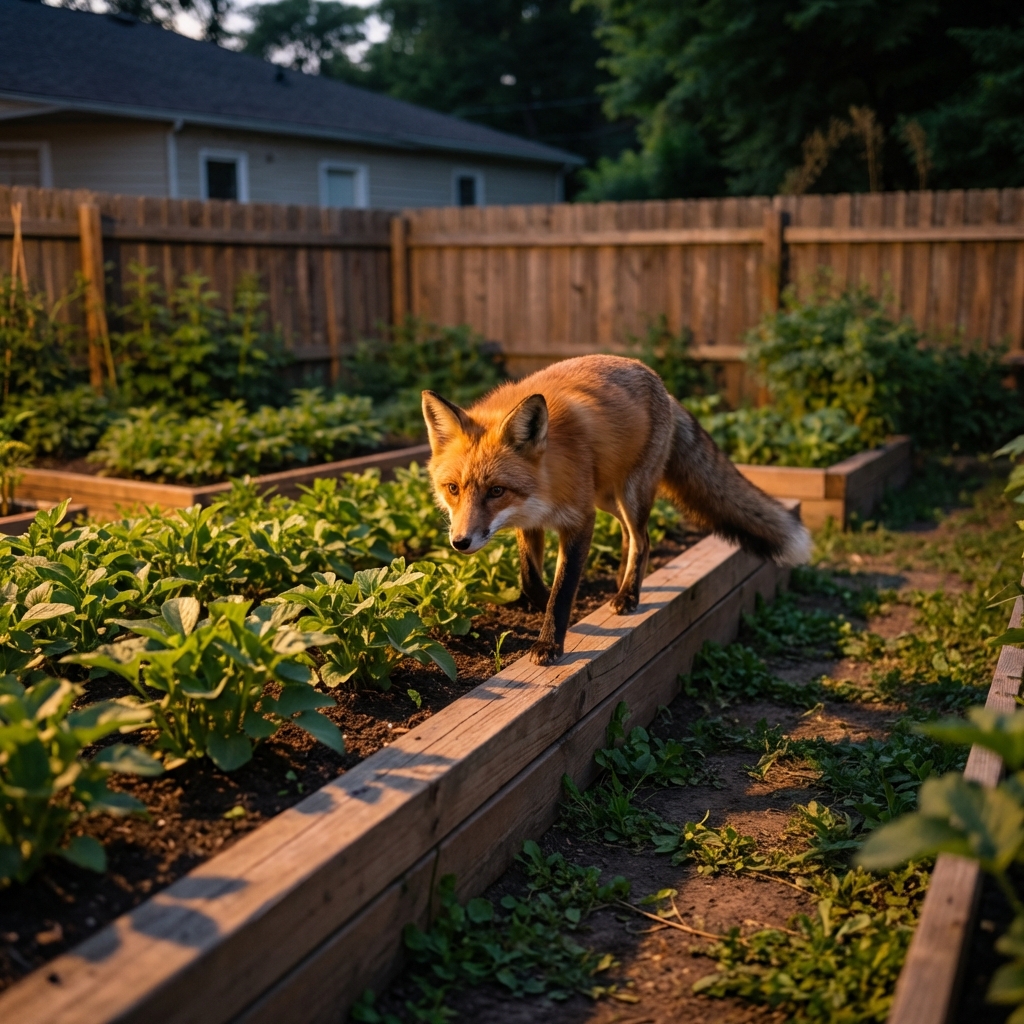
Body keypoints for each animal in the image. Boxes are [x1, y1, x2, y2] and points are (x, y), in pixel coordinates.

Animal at [421, 354, 811, 666]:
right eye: (453, 489)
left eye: (496, 491)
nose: (460, 542)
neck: (548, 478)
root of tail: (657, 380)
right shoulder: (530, 521)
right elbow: (530, 580)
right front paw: (551, 606)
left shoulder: (579, 520)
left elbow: (564, 588)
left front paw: (551, 641)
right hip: (608, 498)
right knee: (629, 534)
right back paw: (621, 581)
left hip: (630, 494)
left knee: (643, 539)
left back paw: (628, 594)